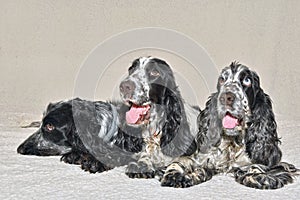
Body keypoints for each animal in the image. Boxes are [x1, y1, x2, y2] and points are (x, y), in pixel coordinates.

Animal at [162, 62, 298, 189]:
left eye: (247, 80)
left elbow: (258, 166)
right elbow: (181, 161)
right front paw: (175, 175)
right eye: (222, 79)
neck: (231, 143)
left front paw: (259, 177)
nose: (226, 97)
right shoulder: (202, 157)